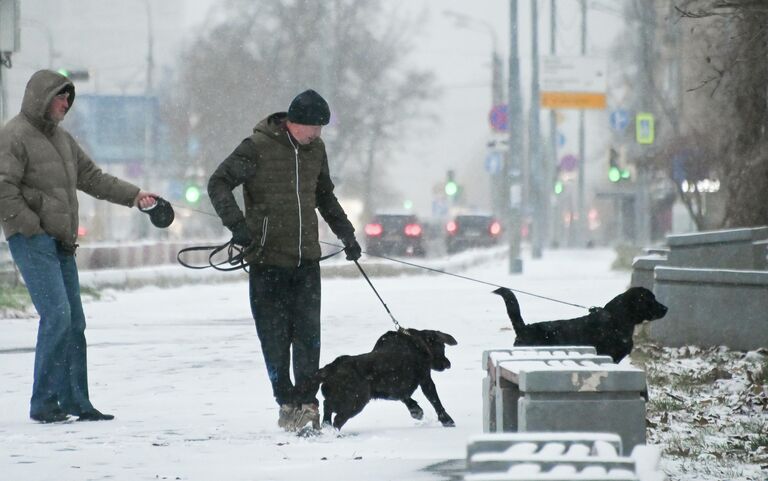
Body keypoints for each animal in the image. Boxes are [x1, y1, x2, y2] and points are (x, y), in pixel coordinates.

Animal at [296, 328, 456, 430]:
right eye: (442, 348)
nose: (448, 364)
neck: (416, 343)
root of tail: (332, 367)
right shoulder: (425, 379)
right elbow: (436, 401)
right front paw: (447, 420)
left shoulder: (395, 387)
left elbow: (405, 397)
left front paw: (416, 410)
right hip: (356, 401)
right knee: (337, 419)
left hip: (342, 399)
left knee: (327, 406)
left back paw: (326, 426)